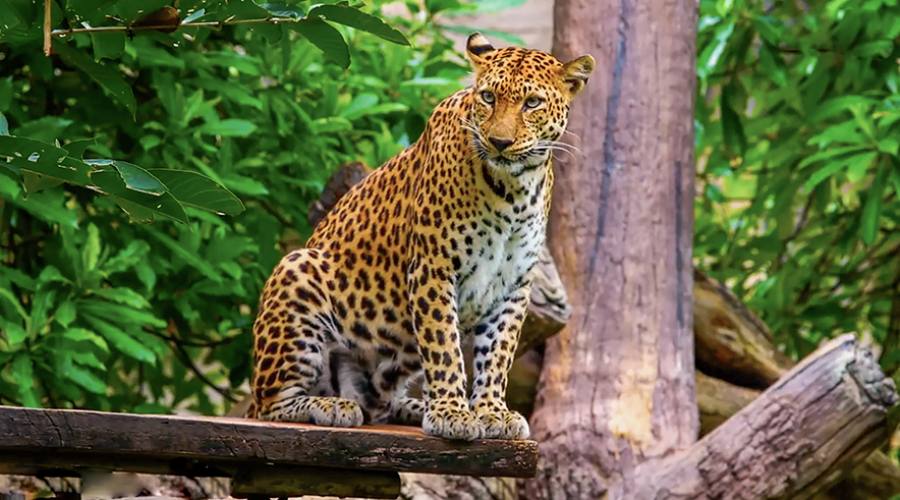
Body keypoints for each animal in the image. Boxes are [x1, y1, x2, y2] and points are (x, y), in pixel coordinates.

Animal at [246, 33, 594, 441]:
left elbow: (498, 352)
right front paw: (451, 413)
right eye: (488, 97)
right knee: (270, 404)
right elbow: (444, 347)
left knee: (379, 406)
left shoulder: (513, 285)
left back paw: (407, 406)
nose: (499, 142)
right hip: (296, 271)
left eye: (533, 103)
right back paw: (331, 405)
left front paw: (491, 412)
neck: (515, 188)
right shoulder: (434, 269)